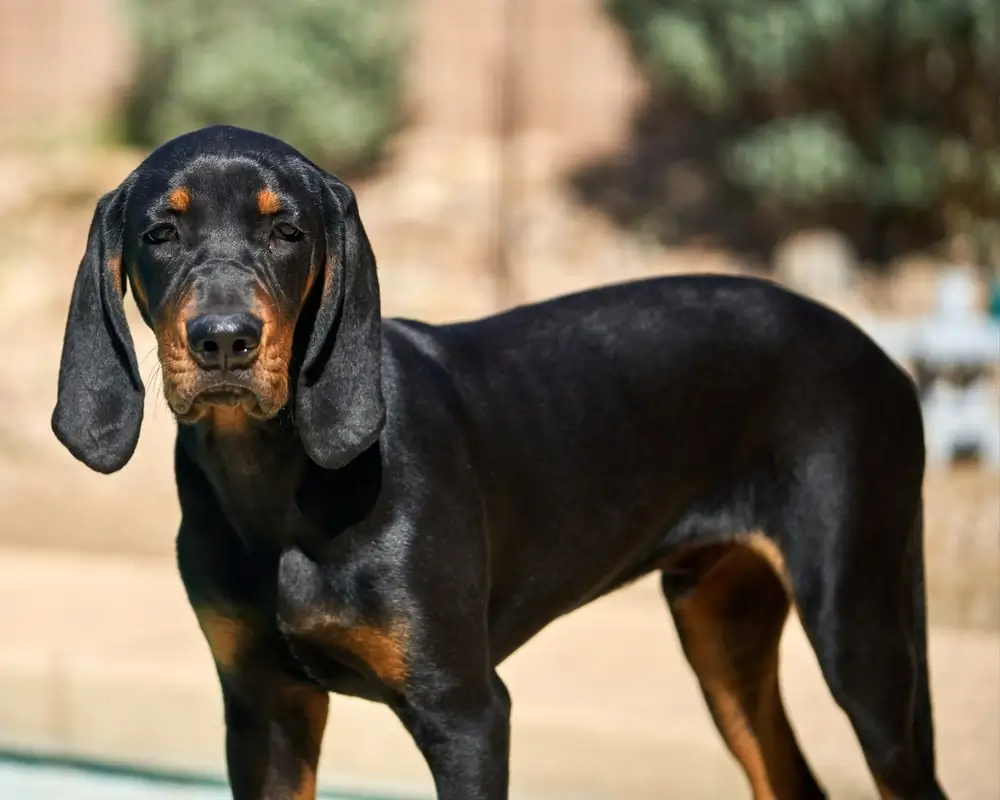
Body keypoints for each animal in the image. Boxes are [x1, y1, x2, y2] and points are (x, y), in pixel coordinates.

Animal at [52, 125, 944, 800]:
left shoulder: (467, 713)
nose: (225, 341)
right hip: (721, 624)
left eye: (287, 232)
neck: (274, 484)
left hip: (859, 631)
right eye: (160, 234)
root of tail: (887, 362)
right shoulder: (264, 706)